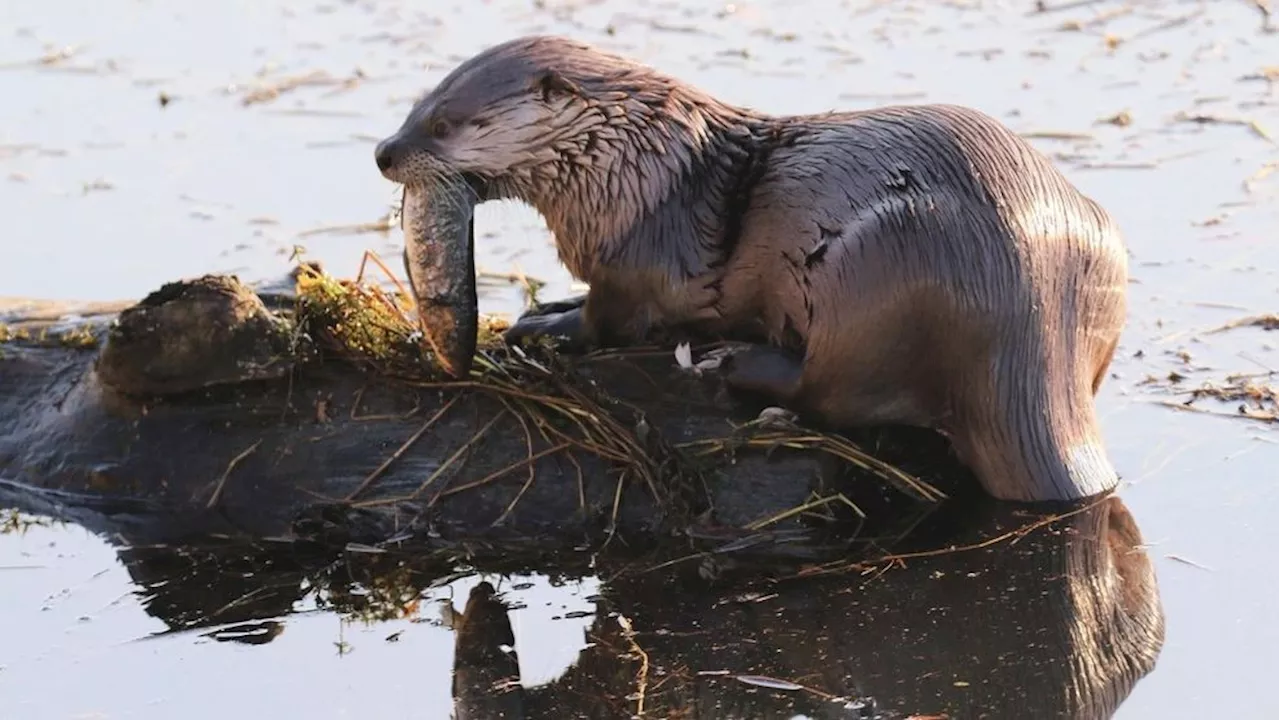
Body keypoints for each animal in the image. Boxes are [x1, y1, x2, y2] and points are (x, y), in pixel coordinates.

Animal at [373, 35, 1131, 504]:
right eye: (415, 106)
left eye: (443, 124)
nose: (383, 151)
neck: (631, 170)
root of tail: (1032, 317)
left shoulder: (634, 260)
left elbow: (610, 320)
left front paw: (546, 325)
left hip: (883, 269)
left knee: (832, 394)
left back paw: (737, 365)